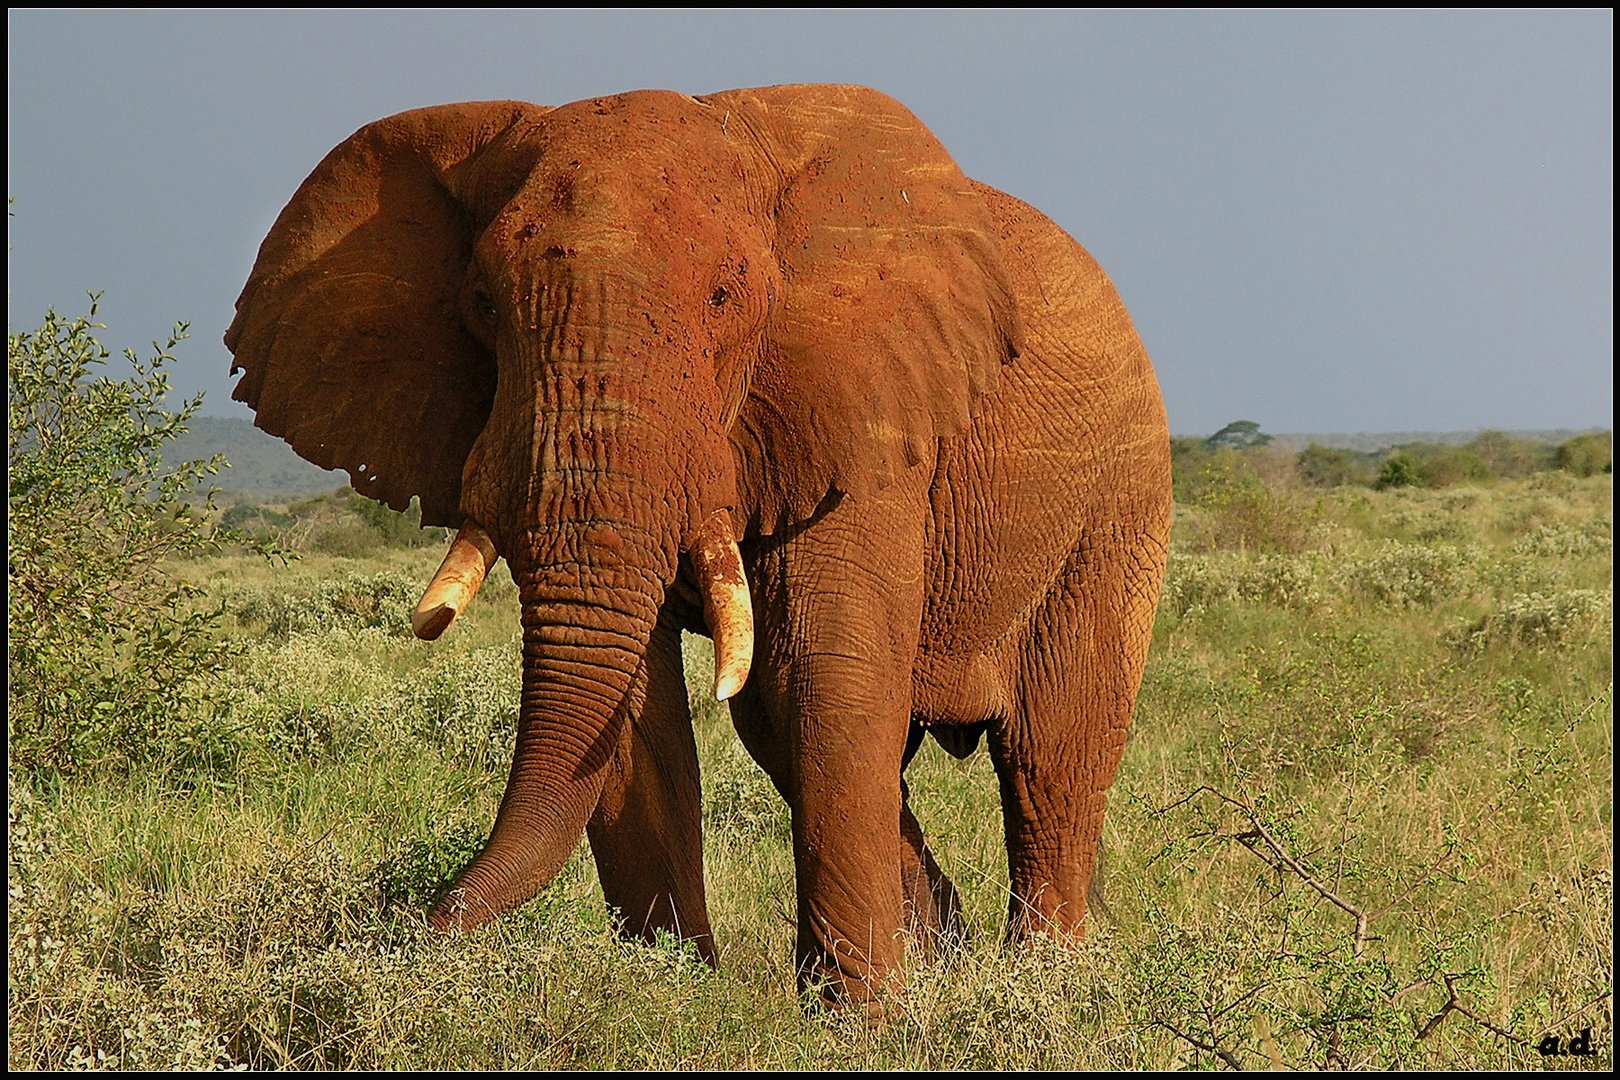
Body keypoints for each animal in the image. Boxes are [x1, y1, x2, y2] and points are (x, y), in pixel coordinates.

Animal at [225, 82, 1166, 1003]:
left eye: (723, 298)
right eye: (482, 305)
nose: (416, 925)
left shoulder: (864, 413)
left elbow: (829, 673)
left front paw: (862, 1025)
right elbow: (640, 716)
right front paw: (672, 994)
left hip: (1117, 502)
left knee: (1052, 757)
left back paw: (1045, 988)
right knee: (788, 732)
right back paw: (947, 956)